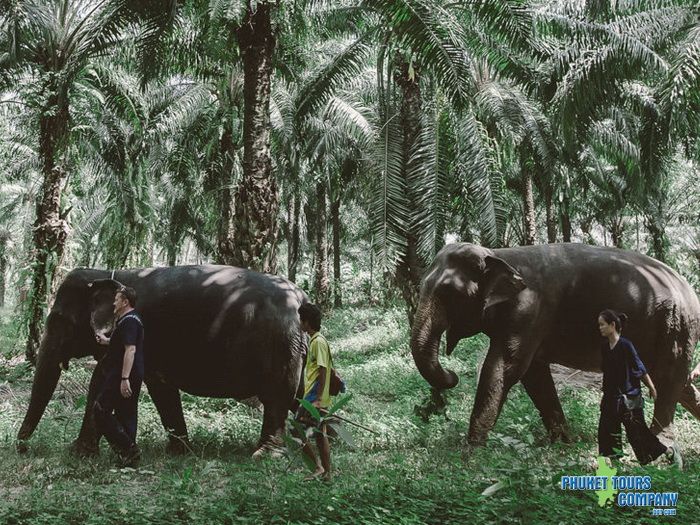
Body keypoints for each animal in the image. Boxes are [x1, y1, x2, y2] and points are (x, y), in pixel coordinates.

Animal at [15, 264, 306, 456]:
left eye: (61, 321)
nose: (22, 448)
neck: (111, 272)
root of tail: (302, 298)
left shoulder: (145, 336)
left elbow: (154, 385)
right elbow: (103, 380)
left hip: (280, 345)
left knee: (277, 398)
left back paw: (266, 454)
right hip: (297, 347)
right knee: (299, 396)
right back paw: (306, 444)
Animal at [410, 243, 700, 446]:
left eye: (449, 293)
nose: (451, 375)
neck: (499, 254)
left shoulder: (529, 310)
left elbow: (503, 369)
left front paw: (471, 452)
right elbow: (534, 375)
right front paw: (563, 443)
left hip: (676, 326)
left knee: (668, 380)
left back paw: (662, 450)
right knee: (680, 384)